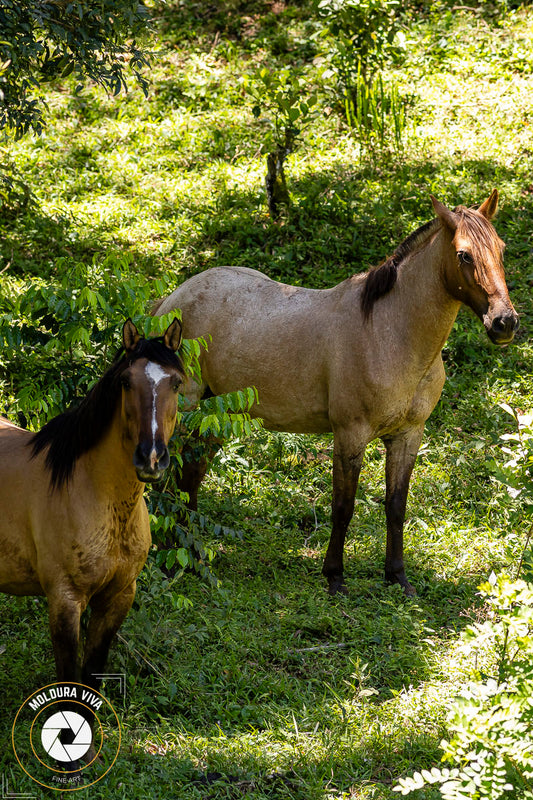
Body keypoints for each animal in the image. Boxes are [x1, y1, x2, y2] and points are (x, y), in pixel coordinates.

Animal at [0, 318, 183, 708]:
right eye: (126, 381)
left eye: (175, 382)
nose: (151, 458)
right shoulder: (65, 601)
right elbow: (70, 683)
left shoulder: (118, 598)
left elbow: (92, 674)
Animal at [153, 192, 516, 592]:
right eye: (464, 255)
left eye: (500, 248)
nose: (505, 322)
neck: (389, 332)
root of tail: (174, 298)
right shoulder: (350, 435)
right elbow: (343, 507)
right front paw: (335, 576)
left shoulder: (408, 435)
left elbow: (396, 506)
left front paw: (397, 577)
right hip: (185, 411)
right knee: (169, 481)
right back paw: (169, 559)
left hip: (216, 415)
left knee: (190, 479)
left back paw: (193, 554)